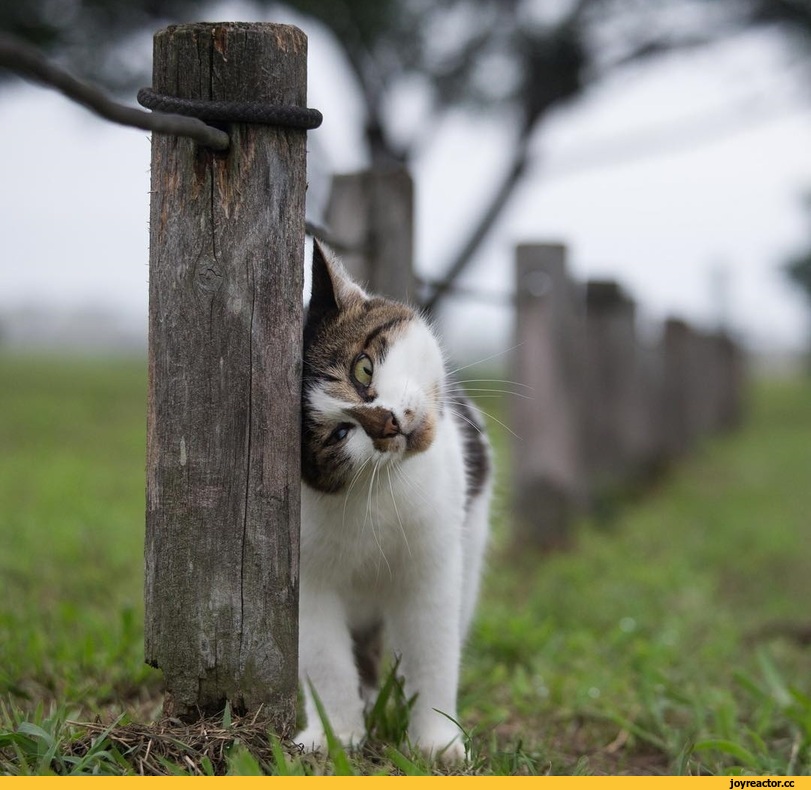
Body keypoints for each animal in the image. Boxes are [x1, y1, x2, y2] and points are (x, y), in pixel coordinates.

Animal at [294, 241, 492, 760]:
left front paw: (437, 742)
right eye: (337, 434)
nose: (386, 423)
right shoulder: (306, 579)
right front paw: (334, 738)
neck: (378, 497)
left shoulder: (432, 566)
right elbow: (324, 661)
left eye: (363, 368)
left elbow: (432, 652)